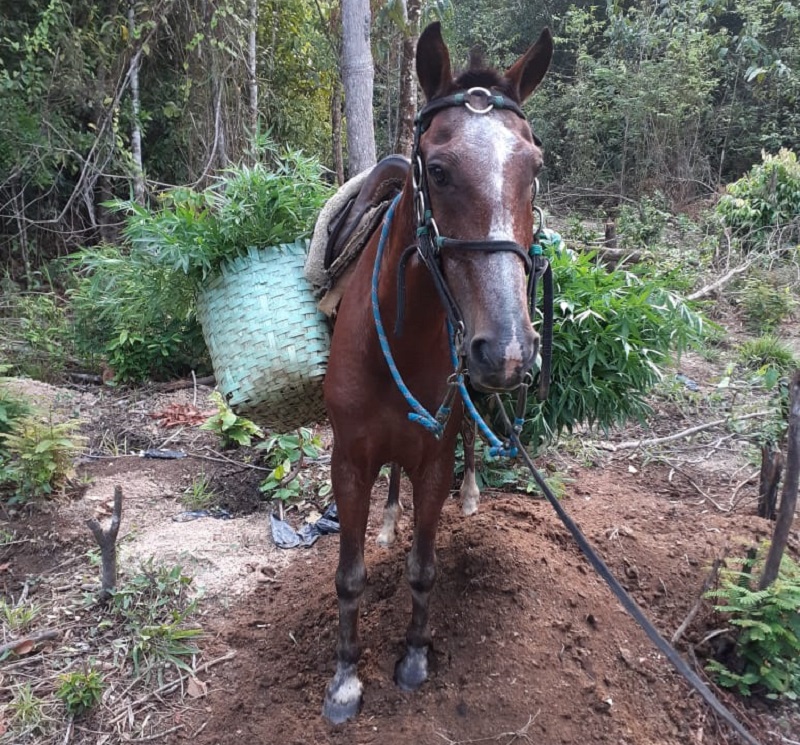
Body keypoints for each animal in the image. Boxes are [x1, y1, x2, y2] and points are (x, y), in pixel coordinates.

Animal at [322, 21, 552, 720]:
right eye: (441, 170)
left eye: (534, 170)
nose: (506, 349)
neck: (401, 336)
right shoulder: (349, 460)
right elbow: (349, 575)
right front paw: (346, 678)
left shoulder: (434, 455)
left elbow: (425, 568)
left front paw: (415, 657)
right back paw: (388, 520)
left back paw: (471, 492)